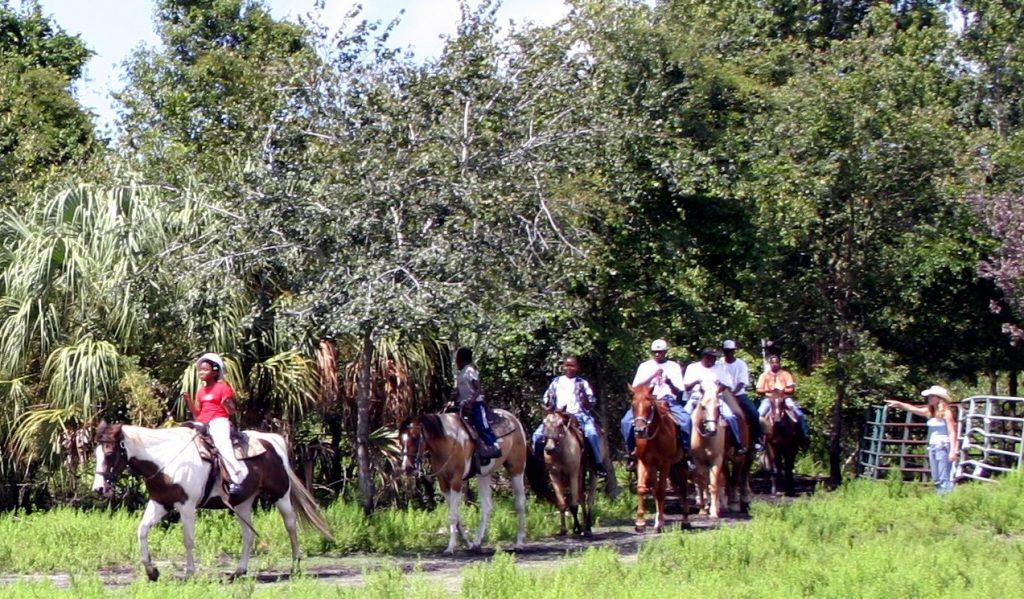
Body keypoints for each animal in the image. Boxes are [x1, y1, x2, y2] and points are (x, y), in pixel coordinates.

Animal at [92, 419, 331, 577]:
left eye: (110, 453)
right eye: (96, 453)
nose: (99, 488)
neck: (165, 459)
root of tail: (272, 440)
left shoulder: (187, 506)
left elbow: (188, 539)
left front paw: (190, 573)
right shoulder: (160, 503)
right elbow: (142, 530)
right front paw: (152, 572)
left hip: (280, 495)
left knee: (290, 525)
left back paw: (295, 567)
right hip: (242, 502)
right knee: (248, 534)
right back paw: (239, 571)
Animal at [397, 409, 532, 552]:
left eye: (415, 437)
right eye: (400, 439)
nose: (407, 468)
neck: (448, 442)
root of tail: (513, 418)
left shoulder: (456, 481)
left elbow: (453, 516)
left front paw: (450, 547)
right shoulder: (443, 483)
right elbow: (456, 516)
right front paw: (468, 543)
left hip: (517, 469)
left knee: (520, 503)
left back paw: (519, 542)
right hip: (484, 475)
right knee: (487, 506)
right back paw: (477, 542)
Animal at [626, 387, 692, 532]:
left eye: (649, 406)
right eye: (633, 405)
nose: (640, 430)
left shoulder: (665, 463)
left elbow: (661, 491)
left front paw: (660, 523)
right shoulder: (645, 462)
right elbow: (645, 489)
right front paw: (640, 523)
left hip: (680, 465)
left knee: (683, 489)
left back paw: (685, 521)